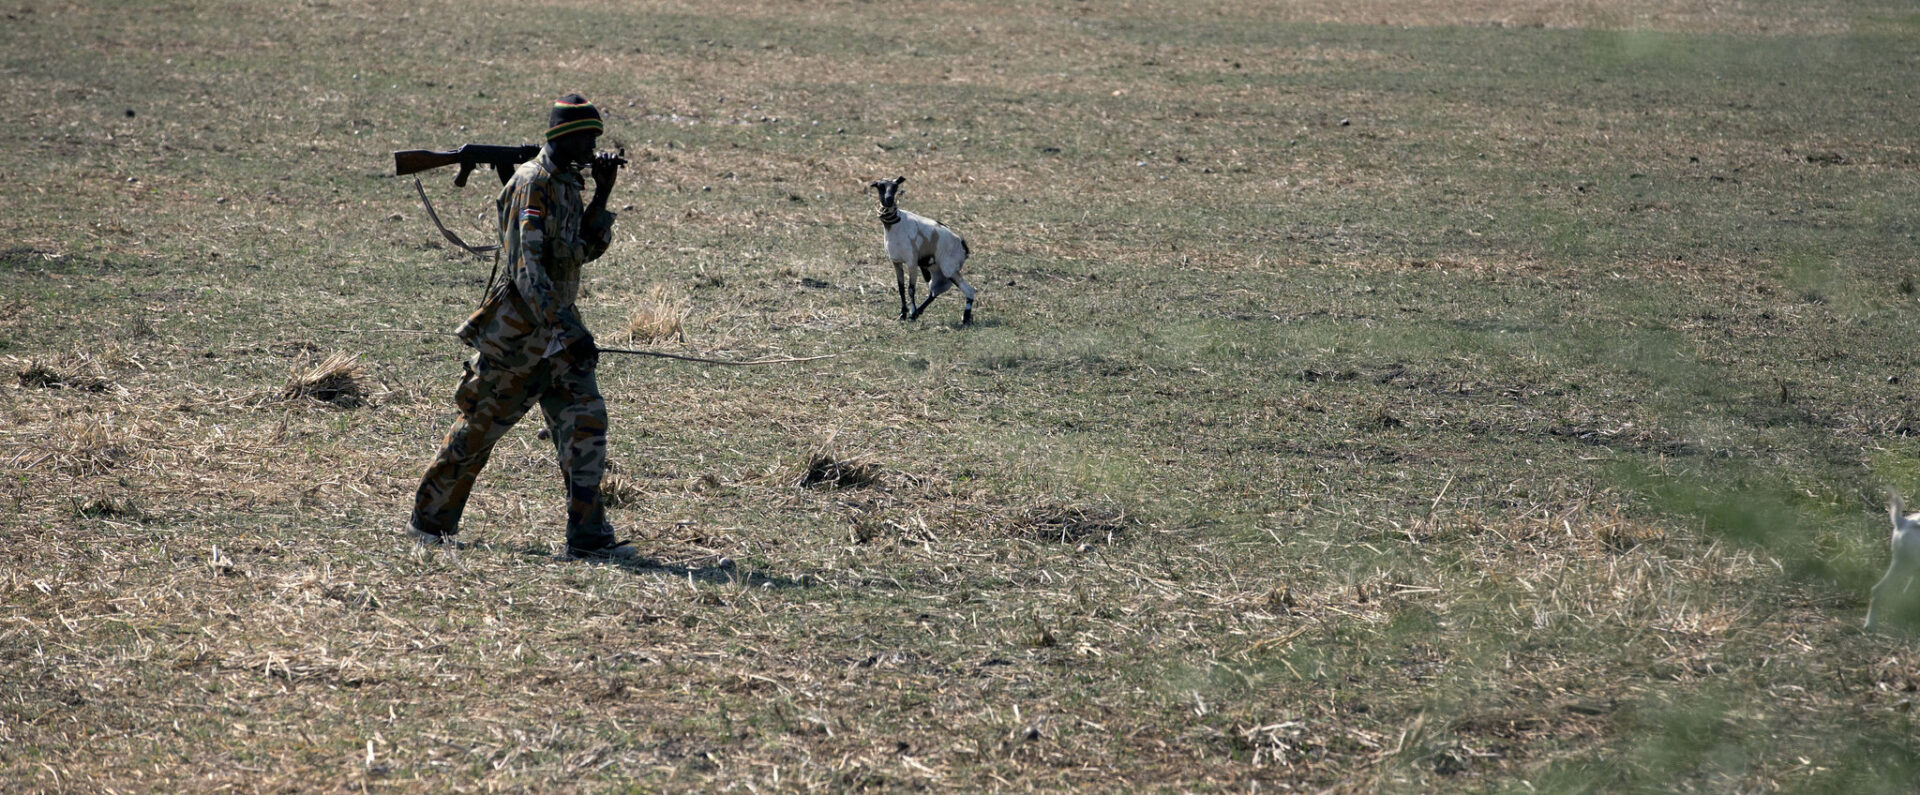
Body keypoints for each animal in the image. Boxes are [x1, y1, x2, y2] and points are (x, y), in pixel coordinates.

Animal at [871, 177, 975, 326]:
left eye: (895, 186)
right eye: (880, 186)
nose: (889, 199)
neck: (896, 226)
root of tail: (962, 244)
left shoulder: (912, 262)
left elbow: (911, 289)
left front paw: (910, 314)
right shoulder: (896, 262)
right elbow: (901, 288)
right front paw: (903, 314)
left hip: (949, 269)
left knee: (969, 290)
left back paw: (965, 317)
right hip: (937, 271)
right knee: (935, 292)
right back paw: (919, 312)